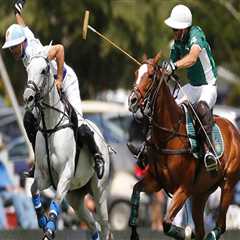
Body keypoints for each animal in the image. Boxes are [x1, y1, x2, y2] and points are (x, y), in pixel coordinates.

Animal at [23, 56, 112, 240]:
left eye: (44, 70)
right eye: (28, 69)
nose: (28, 97)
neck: (50, 128)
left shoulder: (65, 174)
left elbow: (56, 200)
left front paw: (49, 231)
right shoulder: (44, 176)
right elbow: (33, 189)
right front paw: (42, 220)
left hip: (99, 191)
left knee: (105, 225)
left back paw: (99, 162)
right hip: (75, 197)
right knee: (93, 225)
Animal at [128, 53, 240, 240]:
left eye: (150, 76)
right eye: (136, 73)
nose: (132, 100)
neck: (168, 136)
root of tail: (233, 128)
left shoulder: (183, 189)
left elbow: (166, 223)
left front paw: (187, 233)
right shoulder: (156, 182)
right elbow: (136, 190)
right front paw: (134, 232)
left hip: (228, 184)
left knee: (220, 225)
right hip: (201, 193)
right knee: (202, 228)